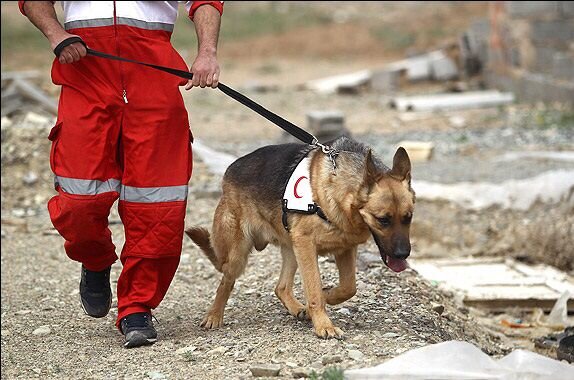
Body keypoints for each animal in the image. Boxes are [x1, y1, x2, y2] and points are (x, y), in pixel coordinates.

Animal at [187, 137, 416, 338]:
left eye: (408, 217)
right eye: (383, 220)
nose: (403, 254)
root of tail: (230, 170)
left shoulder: (344, 249)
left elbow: (348, 287)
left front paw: (328, 295)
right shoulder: (307, 245)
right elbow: (314, 290)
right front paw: (324, 325)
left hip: (292, 249)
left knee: (281, 287)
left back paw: (298, 308)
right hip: (239, 254)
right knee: (226, 281)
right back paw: (214, 316)